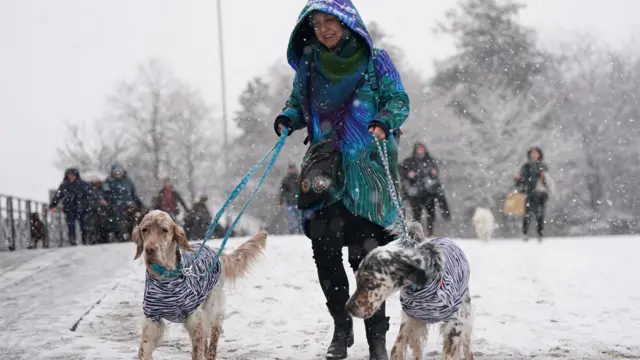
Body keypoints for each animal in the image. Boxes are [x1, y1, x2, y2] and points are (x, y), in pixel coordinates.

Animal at [134, 211, 266, 360]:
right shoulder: (152, 319)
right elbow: (144, 349)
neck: (165, 279)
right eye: (144, 229)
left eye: (164, 230)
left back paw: (211, 353)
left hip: (212, 305)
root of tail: (215, 251)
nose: (149, 249)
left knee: (215, 330)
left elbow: (197, 350)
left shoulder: (194, 317)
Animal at [344, 222, 476, 360]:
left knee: (467, 344)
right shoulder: (411, 318)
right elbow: (397, 349)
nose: (348, 307)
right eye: (357, 278)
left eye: (369, 280)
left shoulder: (455, 323)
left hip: (466, 313)